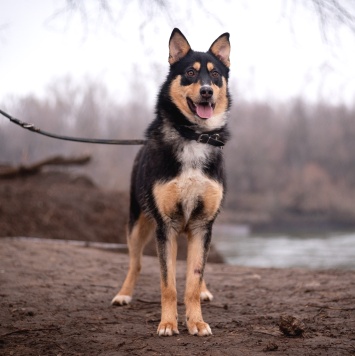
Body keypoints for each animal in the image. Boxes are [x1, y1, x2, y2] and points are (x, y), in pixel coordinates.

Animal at [112, 28, 232, 336]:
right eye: (190, 72)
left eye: (215, 75)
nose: (207, 91)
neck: (194, 136)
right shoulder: (165, 226)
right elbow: (168, 285)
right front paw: (167, 323)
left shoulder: (202, 224)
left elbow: (192, 280)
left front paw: (196, 321)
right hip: (137, 224)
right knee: (135, 263)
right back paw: (124, 294)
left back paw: (204, 291)